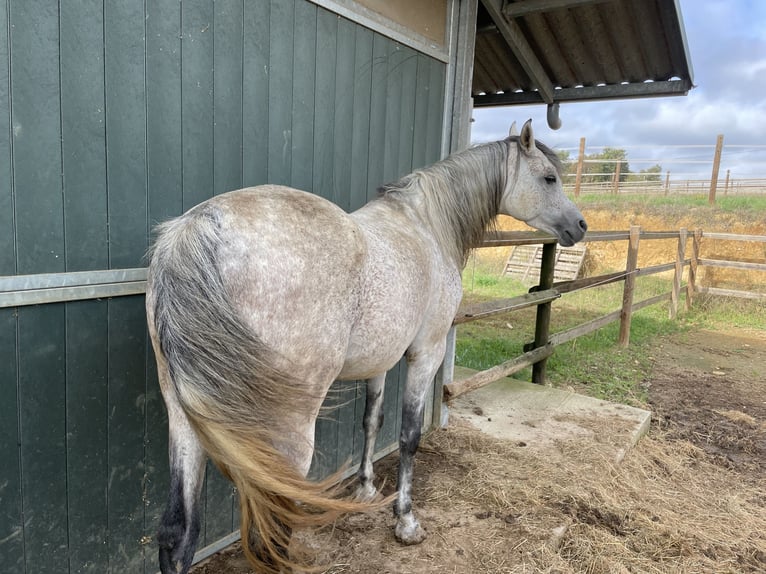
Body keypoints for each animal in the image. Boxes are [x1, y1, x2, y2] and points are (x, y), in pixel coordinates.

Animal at [144, 119, 588, 572]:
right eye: (548, 178)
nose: (580, 225)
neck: (426, 225)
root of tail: (203, 226)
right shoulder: (426, 353)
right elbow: (409, 435)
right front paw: (405, 521)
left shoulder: (381, 360)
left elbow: (371, 421)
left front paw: (366, 489)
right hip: (288, 431)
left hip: (185, 418)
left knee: (179, 532)